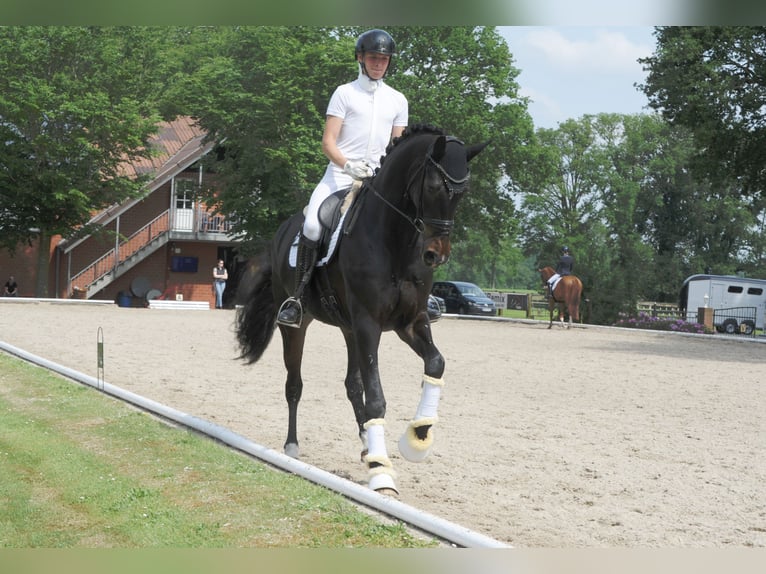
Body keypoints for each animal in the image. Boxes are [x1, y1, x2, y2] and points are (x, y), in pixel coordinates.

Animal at [234, 126, 488, 496]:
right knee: (294, 383)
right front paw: (382, 473)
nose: (435, 254)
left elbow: (435, 364)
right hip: (298, 324)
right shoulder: (369, 323)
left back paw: (368, 445)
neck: (395, 243)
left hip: (348, 327)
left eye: (463, 192)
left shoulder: (410, 321)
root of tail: (282, 232)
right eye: (432, 187)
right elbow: (376, 398)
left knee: (352, 384)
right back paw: (293, 446)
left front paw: (416, 439)